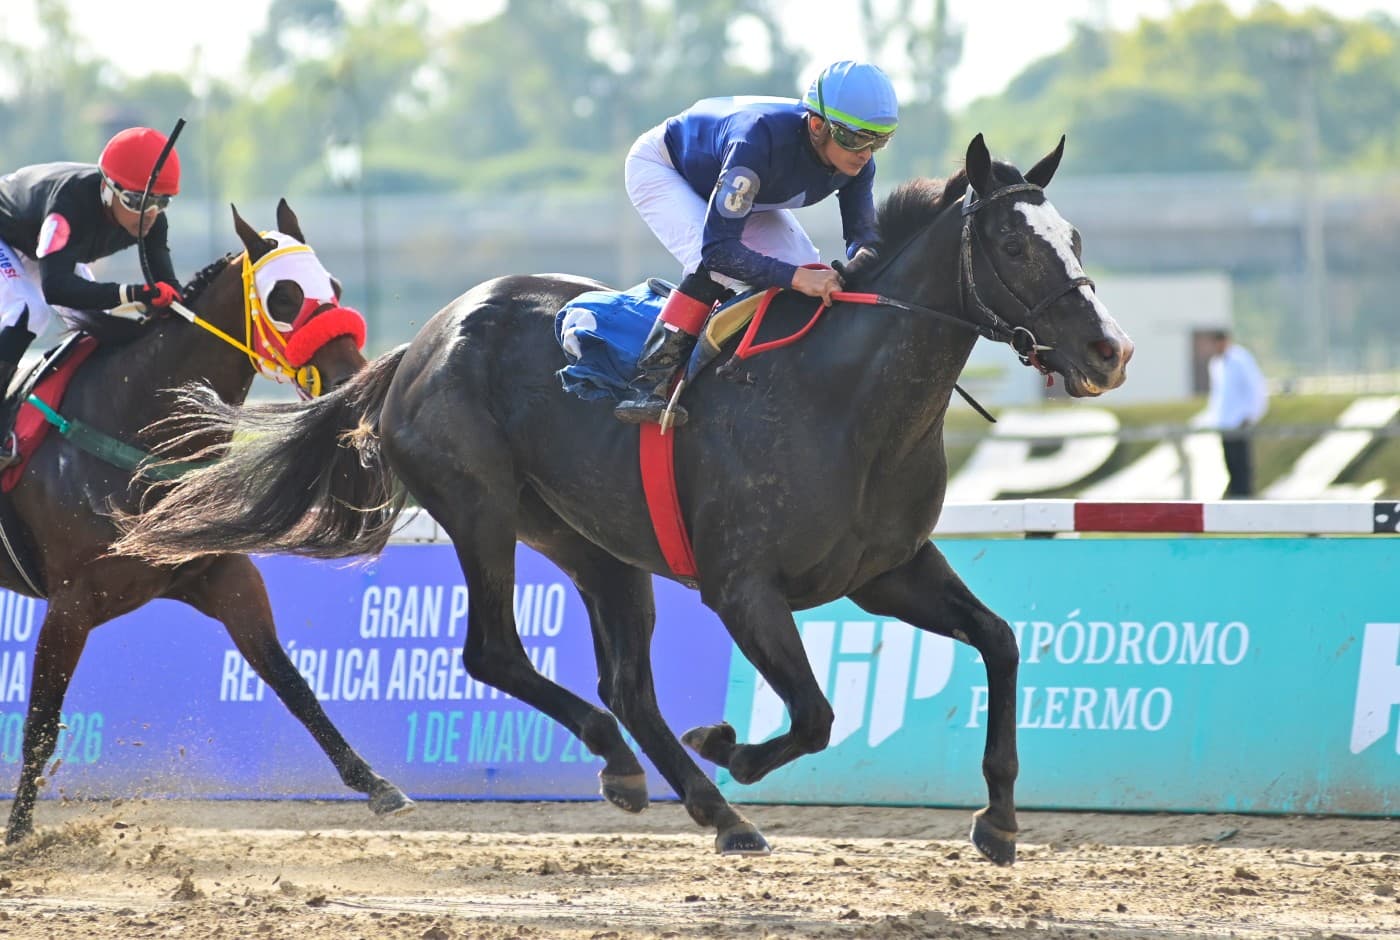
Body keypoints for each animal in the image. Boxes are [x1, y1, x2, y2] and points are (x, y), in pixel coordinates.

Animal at [1, 200, 413, 844]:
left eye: (336, 286)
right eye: (284, 298)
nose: (354, 382)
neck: (129, 422)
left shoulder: (222, 574)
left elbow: (291, 682)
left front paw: (374, 784)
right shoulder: (69, 603)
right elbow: (41, 724)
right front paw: (19, 834)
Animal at [112, 136, 1133, 865]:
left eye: (1079, 240)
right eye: (1014, 243)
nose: (1108, 349)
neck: (845, 398)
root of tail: (420, 343)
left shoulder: (886, 571)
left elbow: (999, 642)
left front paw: (999, 822)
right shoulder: (742, 587)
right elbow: (813, 714)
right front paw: (731, 743)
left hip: (590, 542)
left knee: (626, 684)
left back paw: (701, 803)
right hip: (483, 509)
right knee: (499, 654)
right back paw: (652, 774)